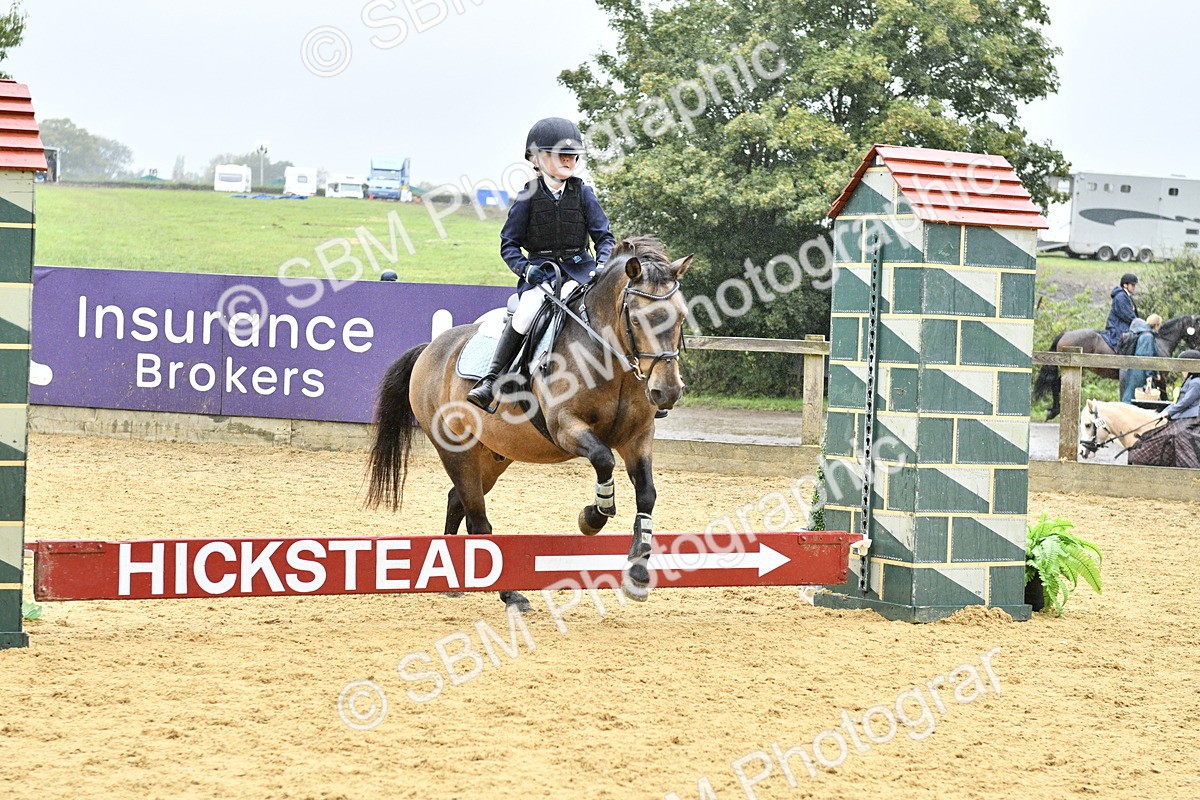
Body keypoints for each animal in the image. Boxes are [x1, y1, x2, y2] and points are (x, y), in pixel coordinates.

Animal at [365, 237, 692, 611]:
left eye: (681, 316)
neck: (611, 362)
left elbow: (647, 493)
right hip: (456, 452)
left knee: (456, 500)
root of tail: (432, 348)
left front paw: (637, 569)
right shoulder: (565, 427)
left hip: (493, 456)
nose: (667, 391)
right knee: (478, 520)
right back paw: (508, 593)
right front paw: (593, 517)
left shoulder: (638, 437)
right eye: (637, 321)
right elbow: (603, 459)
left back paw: (454, 578)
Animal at [1035, 314, 1200, 420]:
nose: (1196, 346)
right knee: (1055, 384)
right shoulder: (1160, 377)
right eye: (1198, 326)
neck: (1160, 340)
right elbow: (1164, 398)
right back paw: (1054, 411)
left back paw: (1054, 411)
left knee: (1056, 384)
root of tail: (1065, 334)